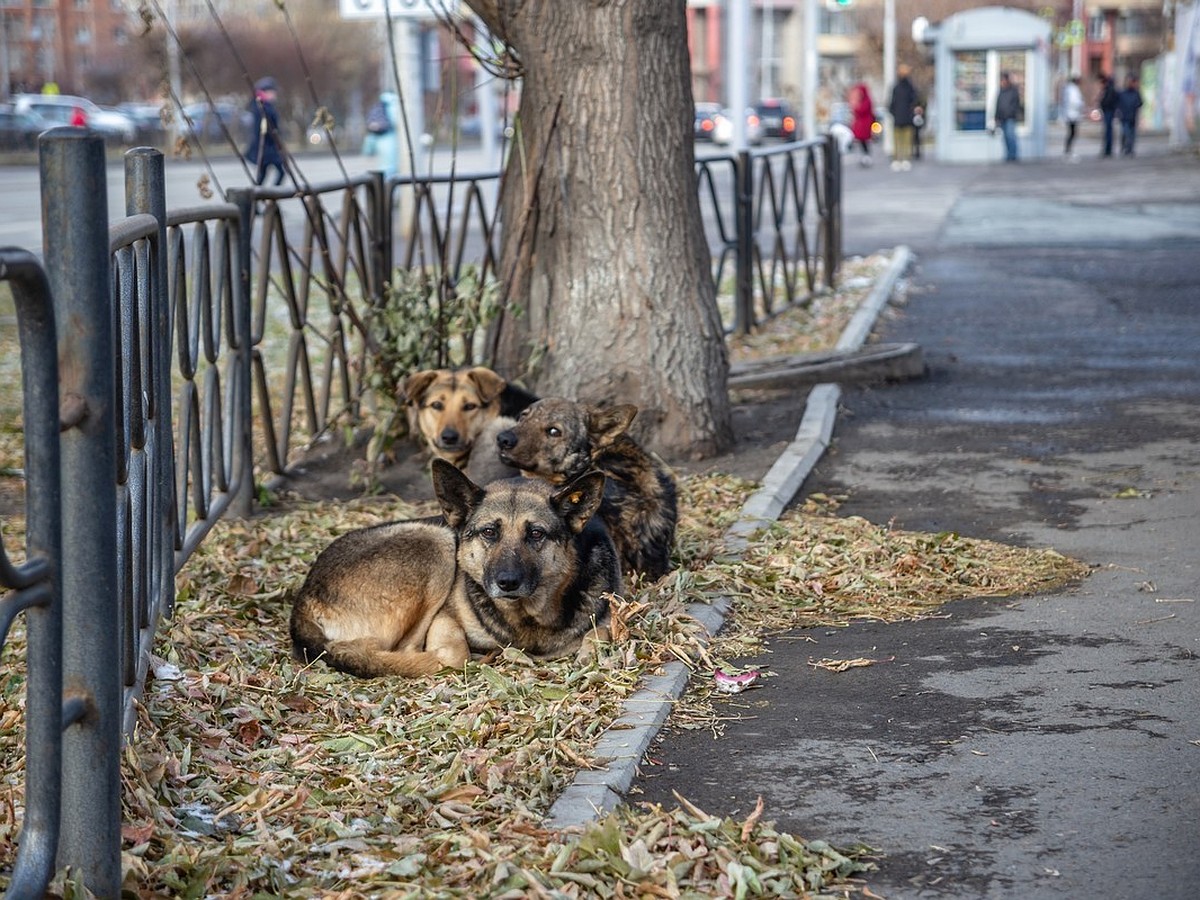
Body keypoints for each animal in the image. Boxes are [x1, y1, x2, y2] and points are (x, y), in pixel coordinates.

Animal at [291, 458, 624, 676]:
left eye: (536, 534)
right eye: (489, 532)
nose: (507, 582)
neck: (528, 616)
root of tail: (302, 601)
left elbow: (599, 634)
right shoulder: (444, 619)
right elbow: (454, 652)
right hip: (436, 542)